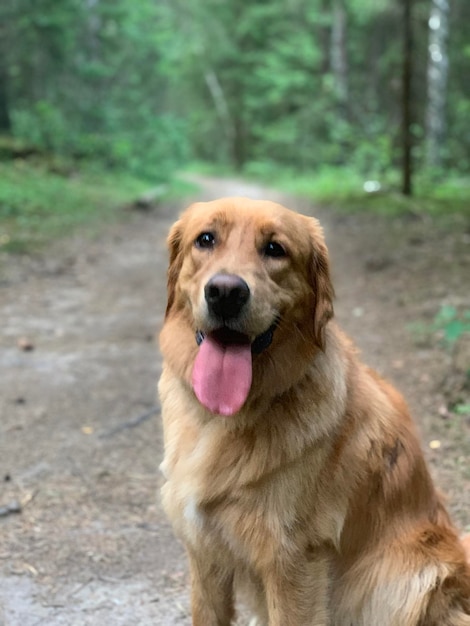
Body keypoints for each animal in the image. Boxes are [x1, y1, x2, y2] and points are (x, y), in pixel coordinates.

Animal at [159, 196, 470, 624]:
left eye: (275, 249)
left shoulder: (293, 560)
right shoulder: (204, 552)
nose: (225, 292)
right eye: (205, 239)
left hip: (406, 578)